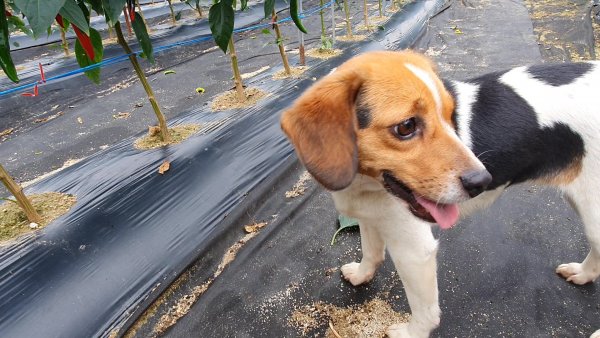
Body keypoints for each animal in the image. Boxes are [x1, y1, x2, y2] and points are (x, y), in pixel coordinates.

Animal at [280, 50, 600, 338]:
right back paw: (583, 274)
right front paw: (361, 275)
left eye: (449, 116)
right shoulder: (372, 218)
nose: (482, 181)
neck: (366, 183)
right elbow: (371, 253)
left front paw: (410, 333)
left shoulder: (414, 251)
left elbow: (425, 311)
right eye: (406, 126)